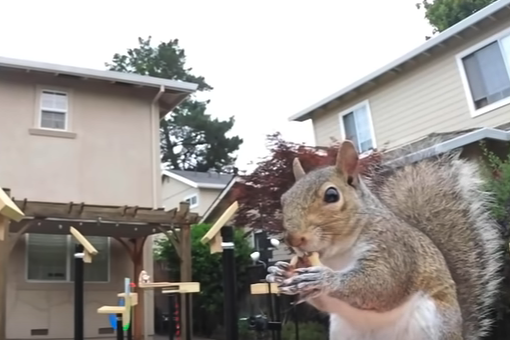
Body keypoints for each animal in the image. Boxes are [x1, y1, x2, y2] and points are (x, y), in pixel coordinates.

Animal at [266, 139, 502, 338]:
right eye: (284, 199)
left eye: (332, 195)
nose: (294, 239)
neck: (337, 254)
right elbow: (322, 302)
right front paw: (277, 271)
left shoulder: (394, 249)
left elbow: (383, 284)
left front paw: (325, 279)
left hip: (433, 324)